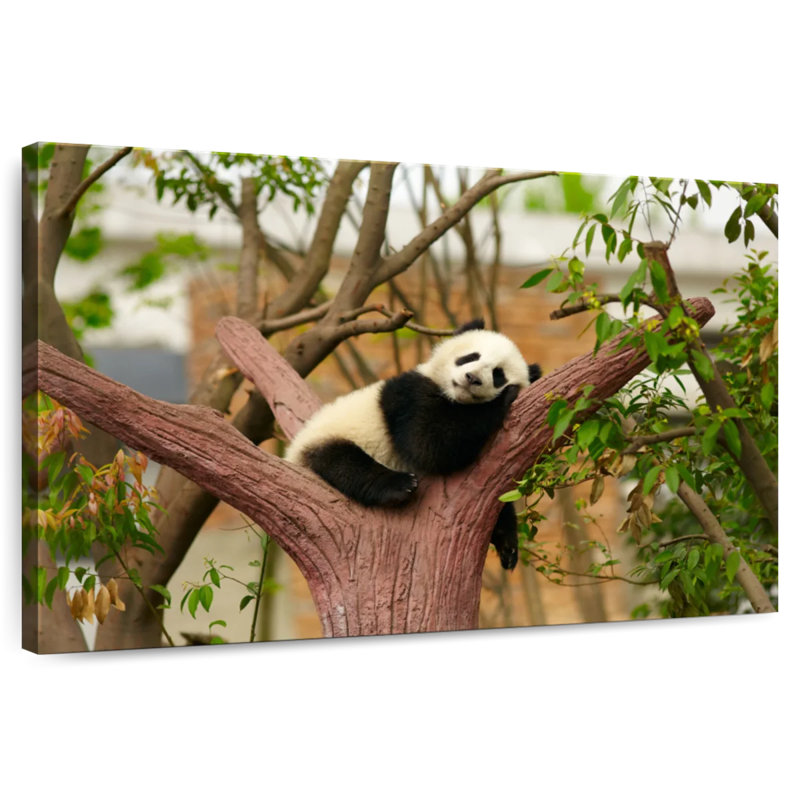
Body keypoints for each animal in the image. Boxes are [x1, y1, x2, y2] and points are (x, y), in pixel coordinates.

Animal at [285, 319, 541, 569]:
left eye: (498, 374)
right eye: (471, 356)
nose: (472, 378)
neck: (454, 398)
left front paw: (507, 543)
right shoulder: (408, 395)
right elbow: (430, 444)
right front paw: (505, 397)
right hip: (329, 437)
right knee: (344, 463)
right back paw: (399, 485)